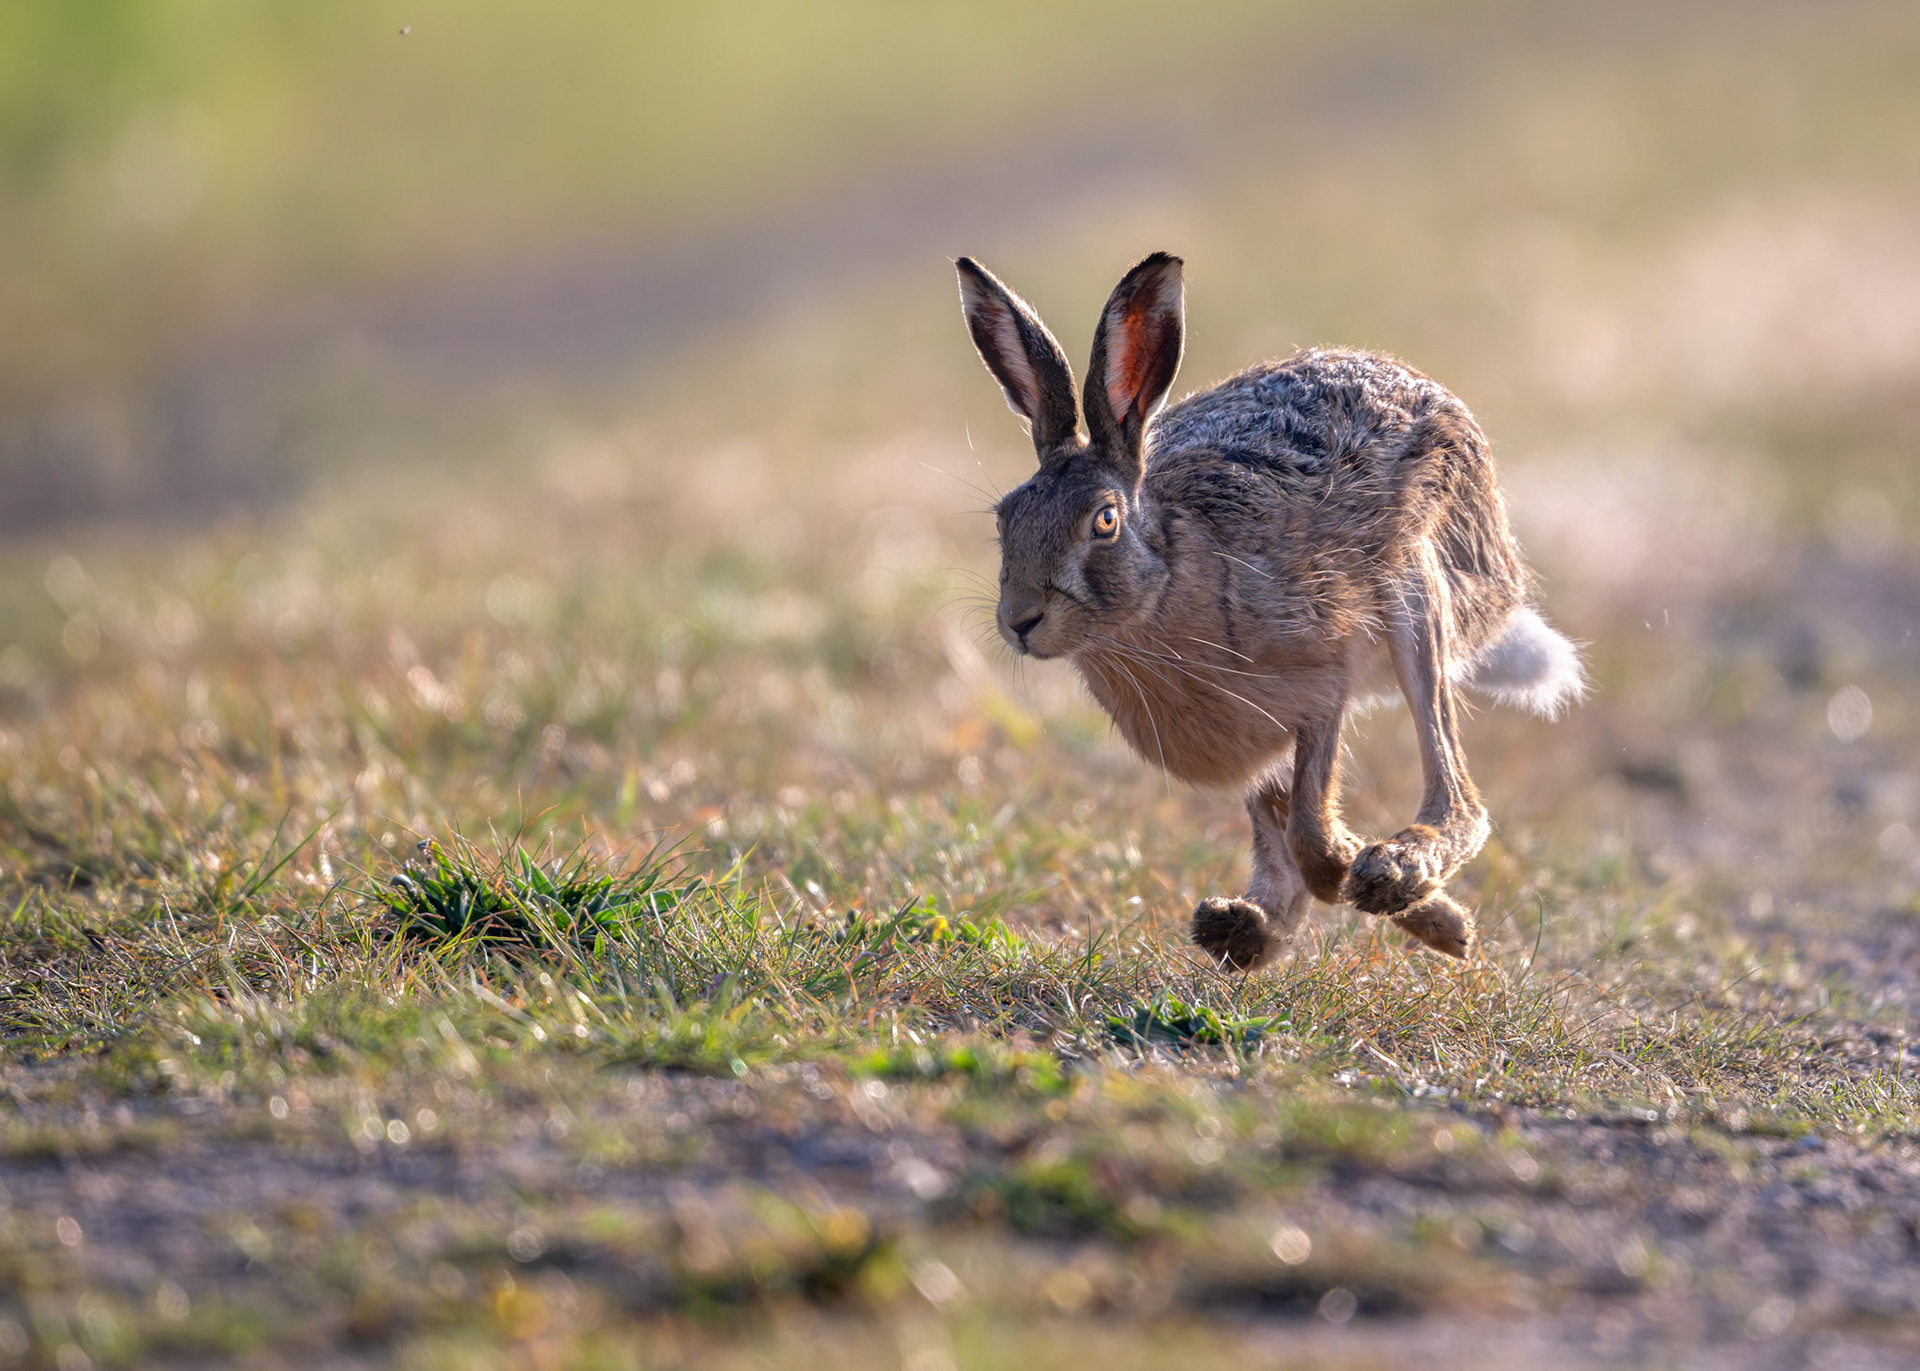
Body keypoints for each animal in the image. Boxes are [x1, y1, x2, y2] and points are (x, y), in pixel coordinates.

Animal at [955, 251, 1583, 966]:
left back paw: (1401, 874)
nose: (1020, 620)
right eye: (1006, 517)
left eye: (1105, 521)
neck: (1167, 580)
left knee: (1457, 793)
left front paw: (1409, 899)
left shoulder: (1324, 679)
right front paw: (1404, 907)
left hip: (1418, 592)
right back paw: (1247, 926)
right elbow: (1293, 826)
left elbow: (1313, 832)